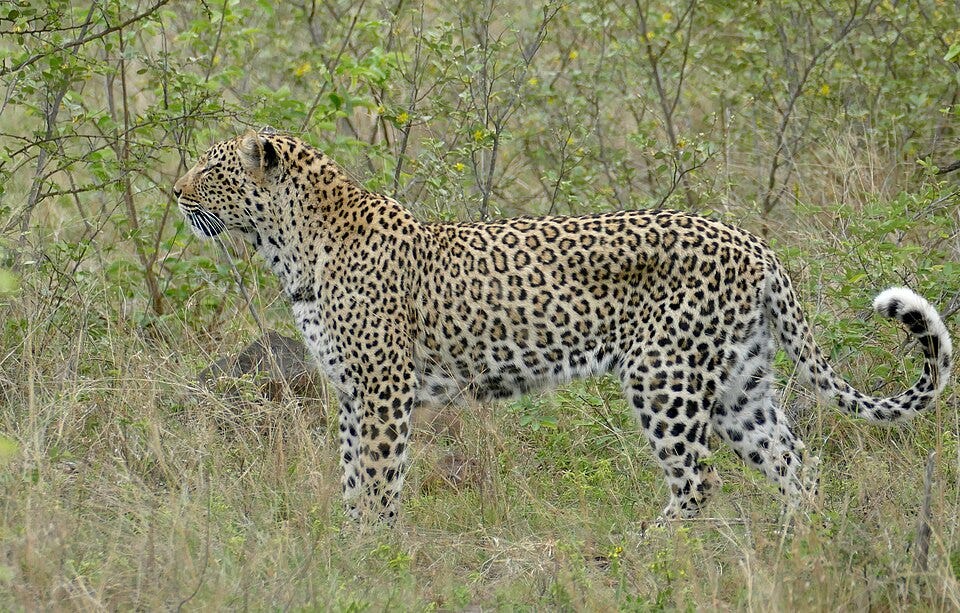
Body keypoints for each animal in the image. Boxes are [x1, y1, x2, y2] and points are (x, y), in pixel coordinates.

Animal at [174, 129, 953, 523]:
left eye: (211, 170)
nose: (174, 192)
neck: (288, 245)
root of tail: (755, 244)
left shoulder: (384, 390)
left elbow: (378, 479)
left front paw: (372, 553)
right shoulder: (350, 392)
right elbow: (348, 478)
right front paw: (347, 545)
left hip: (665, 377)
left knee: (698, 483)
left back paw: (647, 550)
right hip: (739, 385)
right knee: (798, 467)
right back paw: (796, 550)